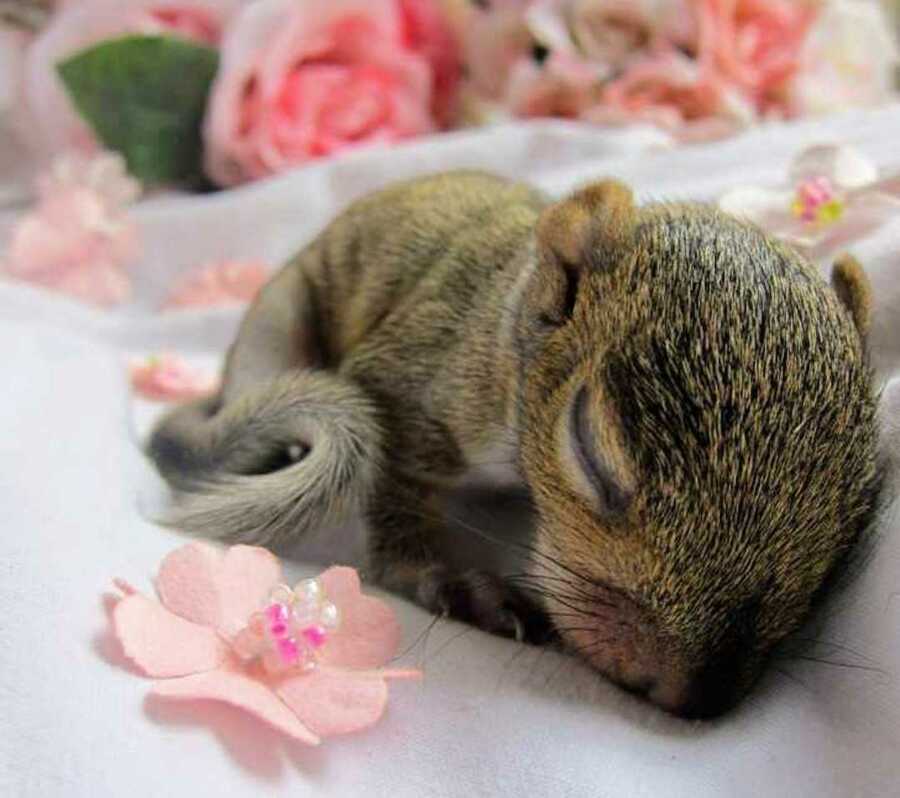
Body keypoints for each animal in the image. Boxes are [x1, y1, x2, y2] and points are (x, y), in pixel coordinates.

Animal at [149, 172, 880, 720]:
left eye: (856, 514)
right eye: (590, 452)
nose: (693, 695)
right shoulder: (412, 380)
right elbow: (394, 494)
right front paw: (448, 579)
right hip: (275, 329)